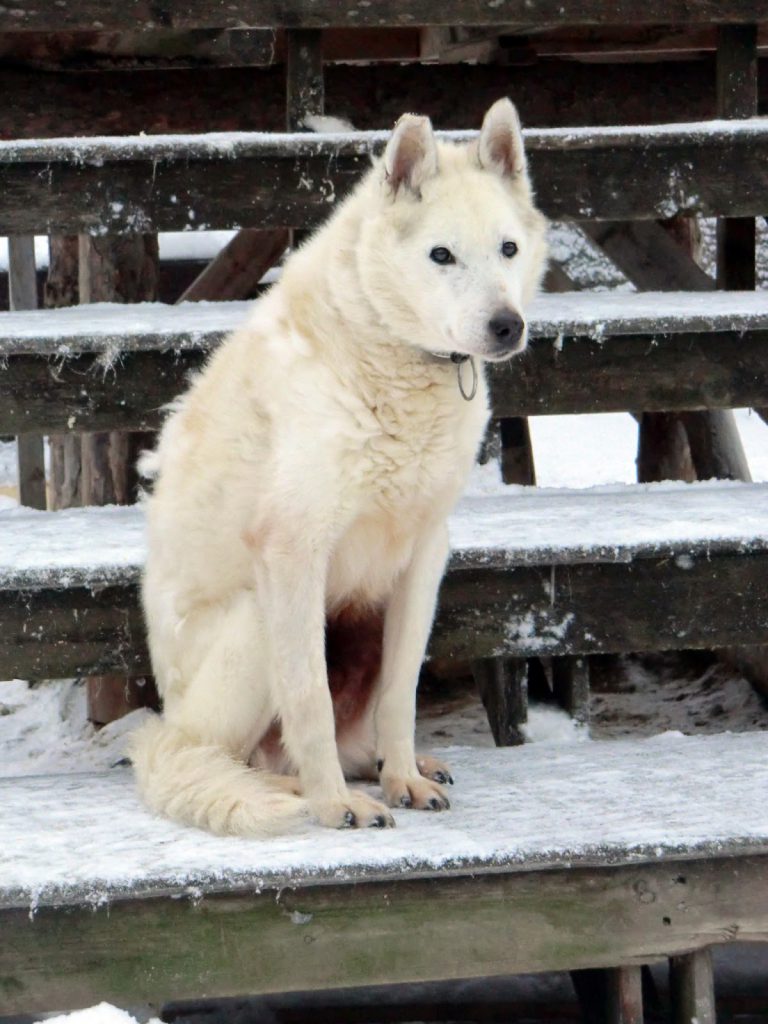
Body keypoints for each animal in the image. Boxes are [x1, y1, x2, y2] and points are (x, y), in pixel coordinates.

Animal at [135, 97, 548, 831]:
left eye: (508, 248)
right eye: (441, 255)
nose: (507, 326)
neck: (392, 353)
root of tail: (167, 727)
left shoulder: (424, 556)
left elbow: (401, 694)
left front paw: (403, 778)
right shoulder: (292, 552)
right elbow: (309, 703)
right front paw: (333, 805)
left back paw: (384, 767)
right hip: (253, 624)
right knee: (234, 758)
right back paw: (299, 789)